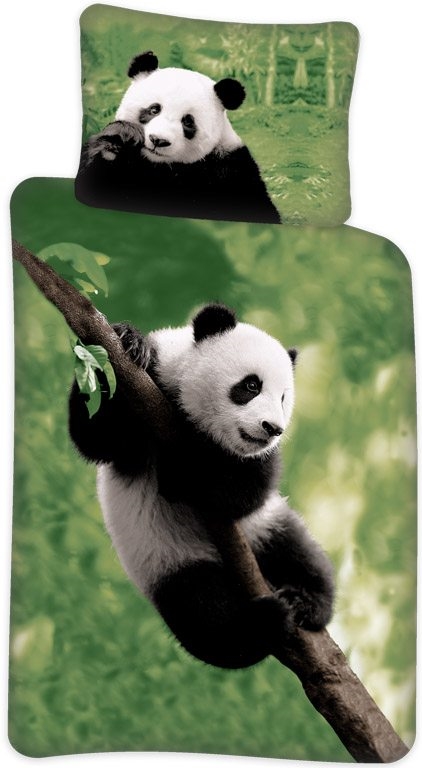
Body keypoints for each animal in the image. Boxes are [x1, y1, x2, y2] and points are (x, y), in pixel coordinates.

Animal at [68, 304, 334, 669]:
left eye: (283, 398)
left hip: (264, 529)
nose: (272, 429)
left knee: (297, 550)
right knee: (203, 613)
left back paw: (304, 601)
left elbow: (245, 492)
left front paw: (183, 471)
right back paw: (262, 621)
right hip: (169, 560)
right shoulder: (148, 395)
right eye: (251, 385)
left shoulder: (255, 462)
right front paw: (129, 341)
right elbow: (95, 435)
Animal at [75, 51, 281, 224]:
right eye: (154, 109)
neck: (160, 166)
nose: (158, 140)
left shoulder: (231, 171)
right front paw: (120, 139)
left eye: (188, 121)